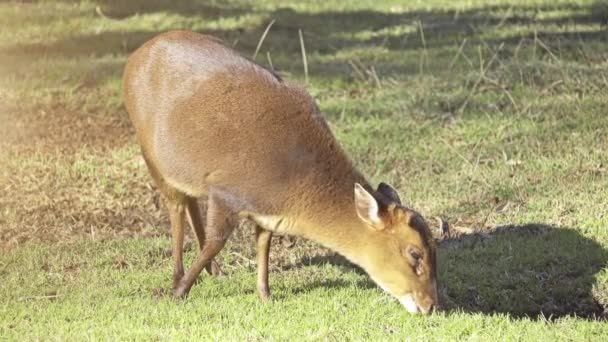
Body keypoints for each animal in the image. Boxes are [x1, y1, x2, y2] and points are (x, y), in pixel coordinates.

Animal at [122, 30, 436, 314]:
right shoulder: (225, 191)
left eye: (434, 247)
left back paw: (216, 271)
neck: (296, 180)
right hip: (151, 155)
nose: (430, 305)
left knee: (188, 202)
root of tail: (133, 59)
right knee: (176, 207)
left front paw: (265, 294)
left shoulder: (265, 211)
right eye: (415, 253)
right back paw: (178, 275)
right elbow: (216, 242)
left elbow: (263, 244)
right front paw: (179, 291)